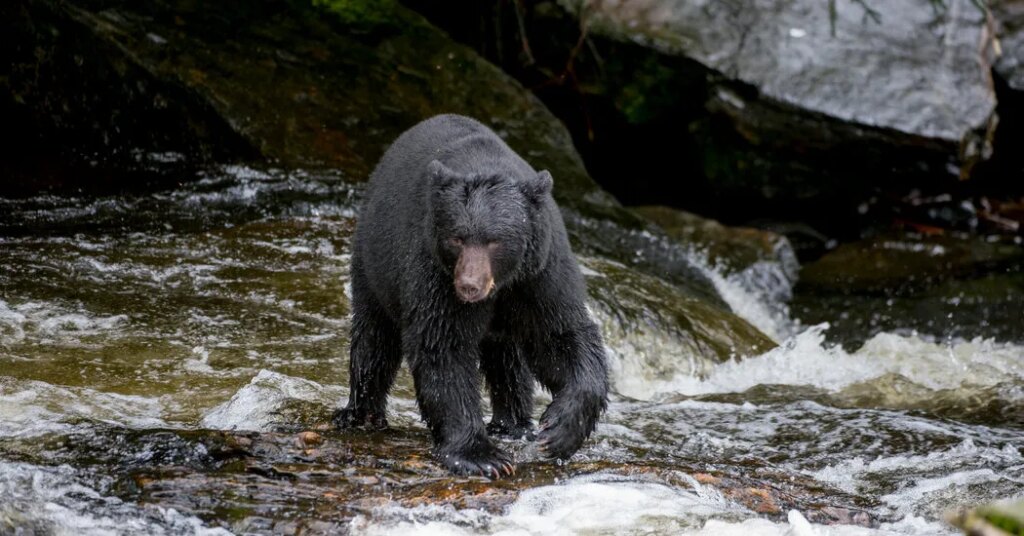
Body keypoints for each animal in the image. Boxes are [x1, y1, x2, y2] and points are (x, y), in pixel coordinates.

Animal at [333, 114, 609, 478]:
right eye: (457, 238)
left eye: (495, 240)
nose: (468, 286)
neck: (502, 284)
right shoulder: (433, 269)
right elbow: (442, 345)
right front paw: (481, 456)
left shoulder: (539, 272)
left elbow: (560, 335)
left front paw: (559, 430)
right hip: (374, 261)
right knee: (374, 338)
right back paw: (360, 413)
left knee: (508, 358)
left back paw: (514, 424)